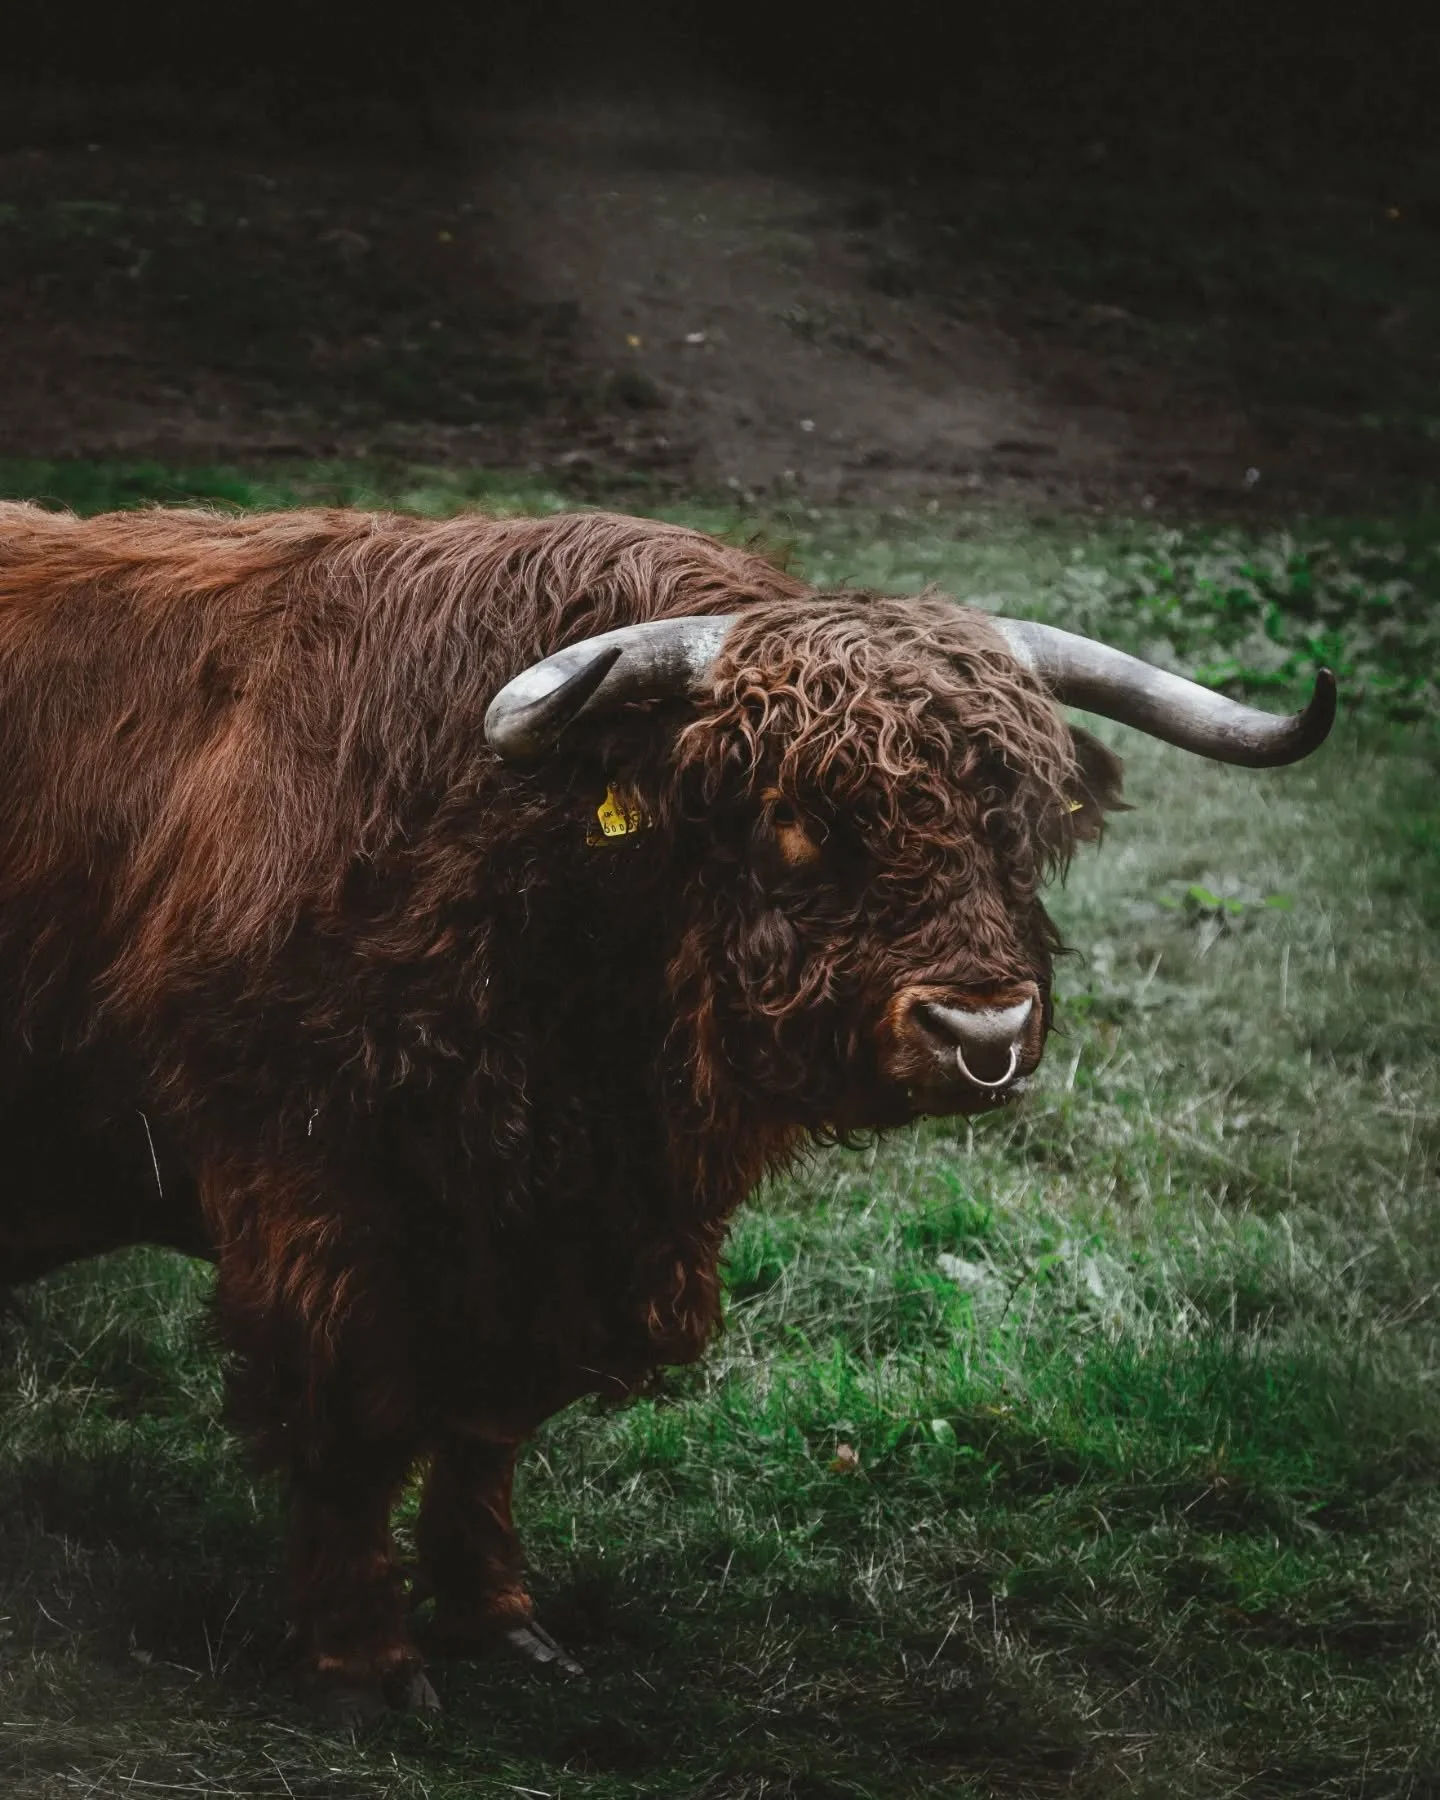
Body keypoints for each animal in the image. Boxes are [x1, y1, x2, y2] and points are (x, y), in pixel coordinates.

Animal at [0, 501, 1333, 1715]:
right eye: (798, 817)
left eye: (1020, 817)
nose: (983, 1033)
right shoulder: (315, 1197)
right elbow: (356, 1422)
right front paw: (366, 1661)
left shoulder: (556, 1238)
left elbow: (486, 1428)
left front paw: (498, 1619)